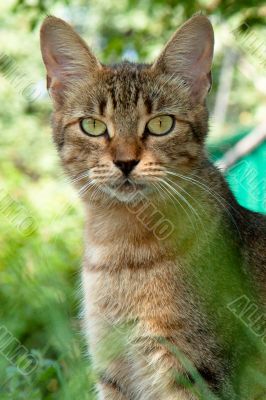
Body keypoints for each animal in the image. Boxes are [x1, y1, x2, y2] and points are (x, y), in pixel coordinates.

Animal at [40, 14, 266, 398]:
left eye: (161, 124)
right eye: (93, 125)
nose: (125, 162)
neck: (121, 250)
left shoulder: (193, 371)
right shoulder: (113, 370)